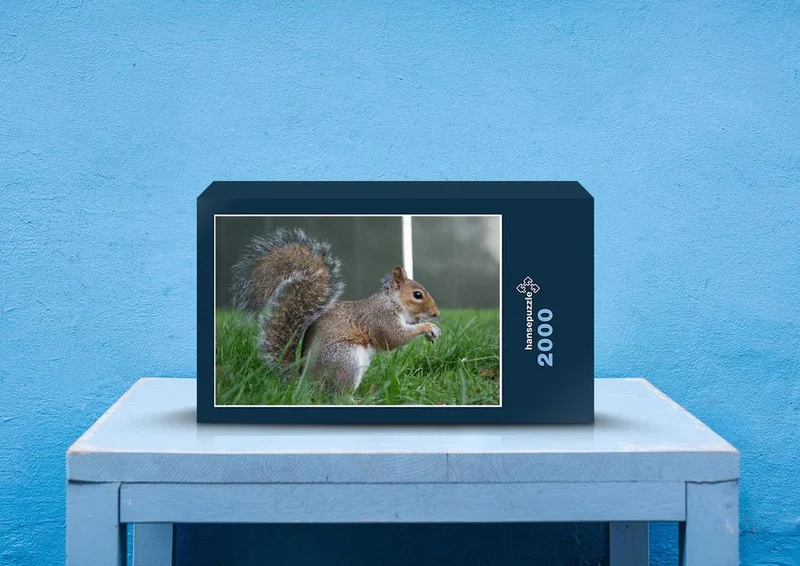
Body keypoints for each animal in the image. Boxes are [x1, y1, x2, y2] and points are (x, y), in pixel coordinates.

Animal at [230, 227, 441, 391]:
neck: (391, 301)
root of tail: (307, 384)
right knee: (339, 394)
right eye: (417, 295)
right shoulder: (380, 318)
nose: (436, 314)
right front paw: (428, 327)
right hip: (345, 359)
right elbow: (393, 338)